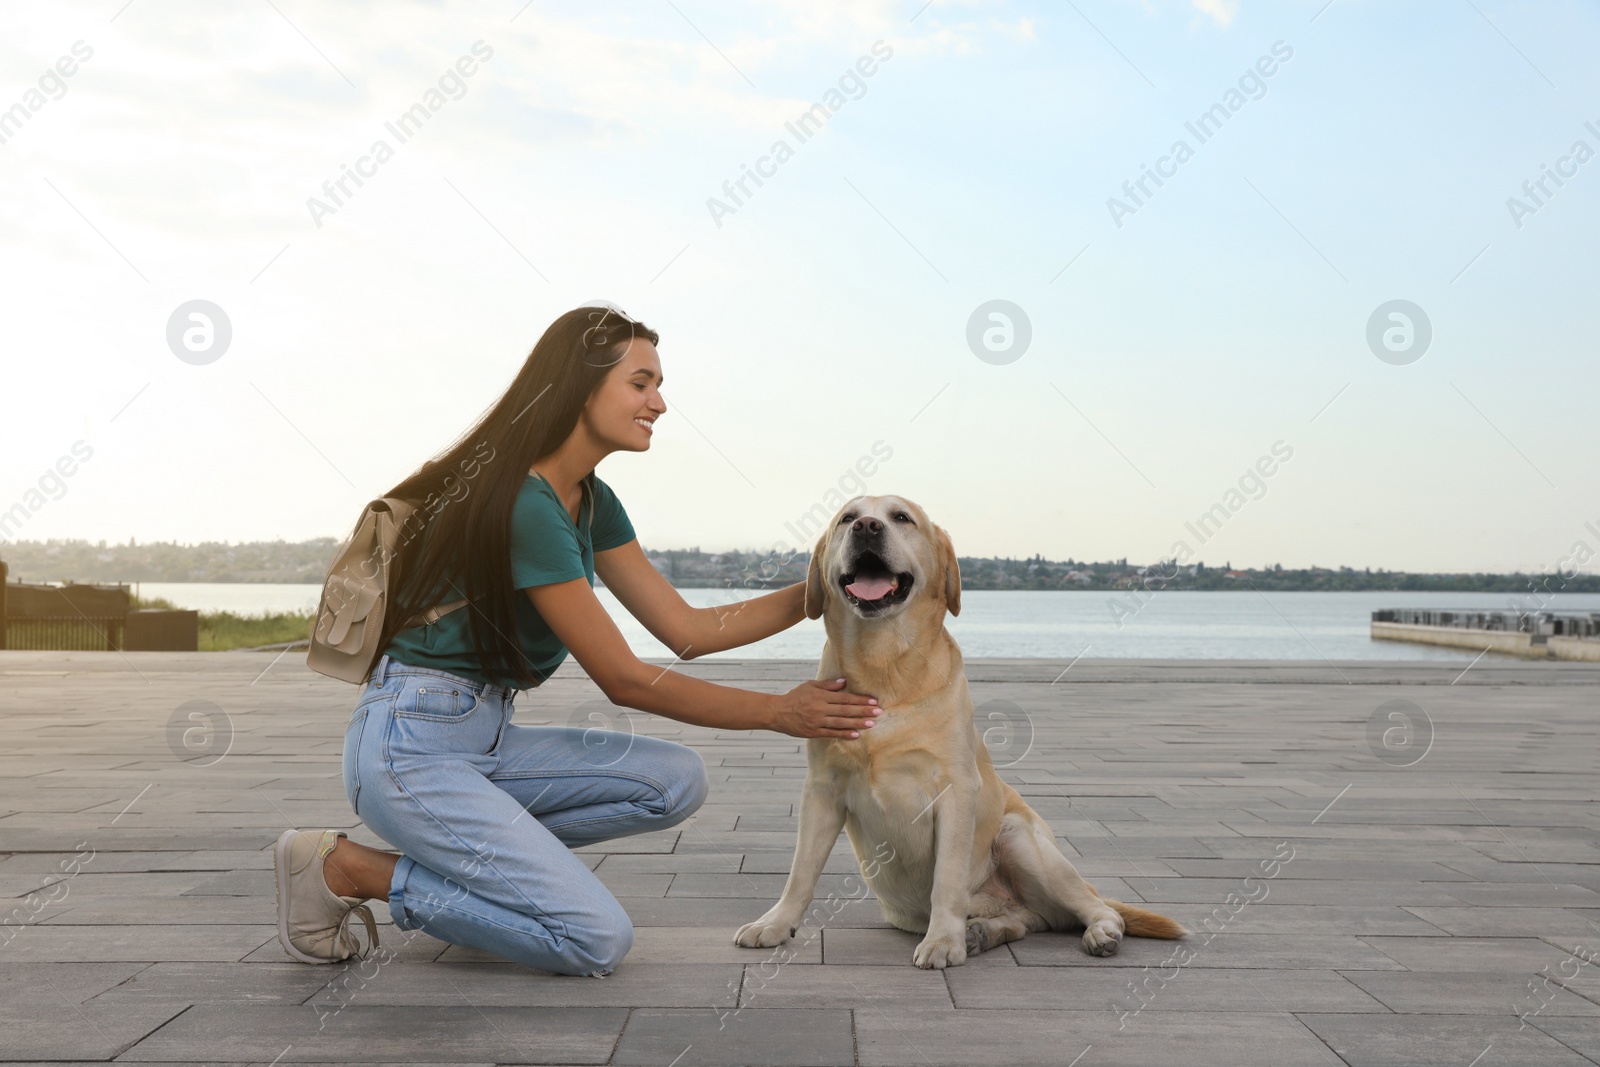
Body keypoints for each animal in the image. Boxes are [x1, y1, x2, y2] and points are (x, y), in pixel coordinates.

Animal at [732, 495, 1184, 972]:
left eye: (901, 518)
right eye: (847, 519)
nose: (867, 527)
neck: (883, 664)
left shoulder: (956, 791)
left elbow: (947, 879)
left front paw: (943, 941)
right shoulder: (822, 789)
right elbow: (801, 871)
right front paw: (775, 924)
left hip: (1018, 837)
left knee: (1096, 907)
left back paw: (1097, 932)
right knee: (1030, 919)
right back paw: (984, 932)